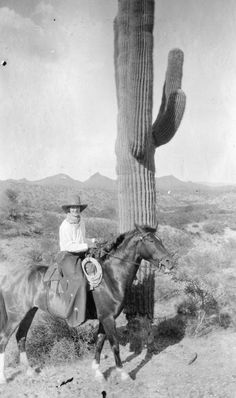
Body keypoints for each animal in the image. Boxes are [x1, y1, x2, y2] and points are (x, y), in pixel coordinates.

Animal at [0, 224, 173, 382]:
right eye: (151, 240)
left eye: (160, 239)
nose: (169, 262)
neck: (110, 278)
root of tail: (9, 276)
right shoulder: (108, 318)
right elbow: (114, 345)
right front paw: (123, 373)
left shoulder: (104, 318)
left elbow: (100, 342)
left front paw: (97, 372)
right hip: (16, 315)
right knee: (4, 339)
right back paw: (4, 378)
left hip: (29, 312)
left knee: (21, 337)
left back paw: (30, 371)